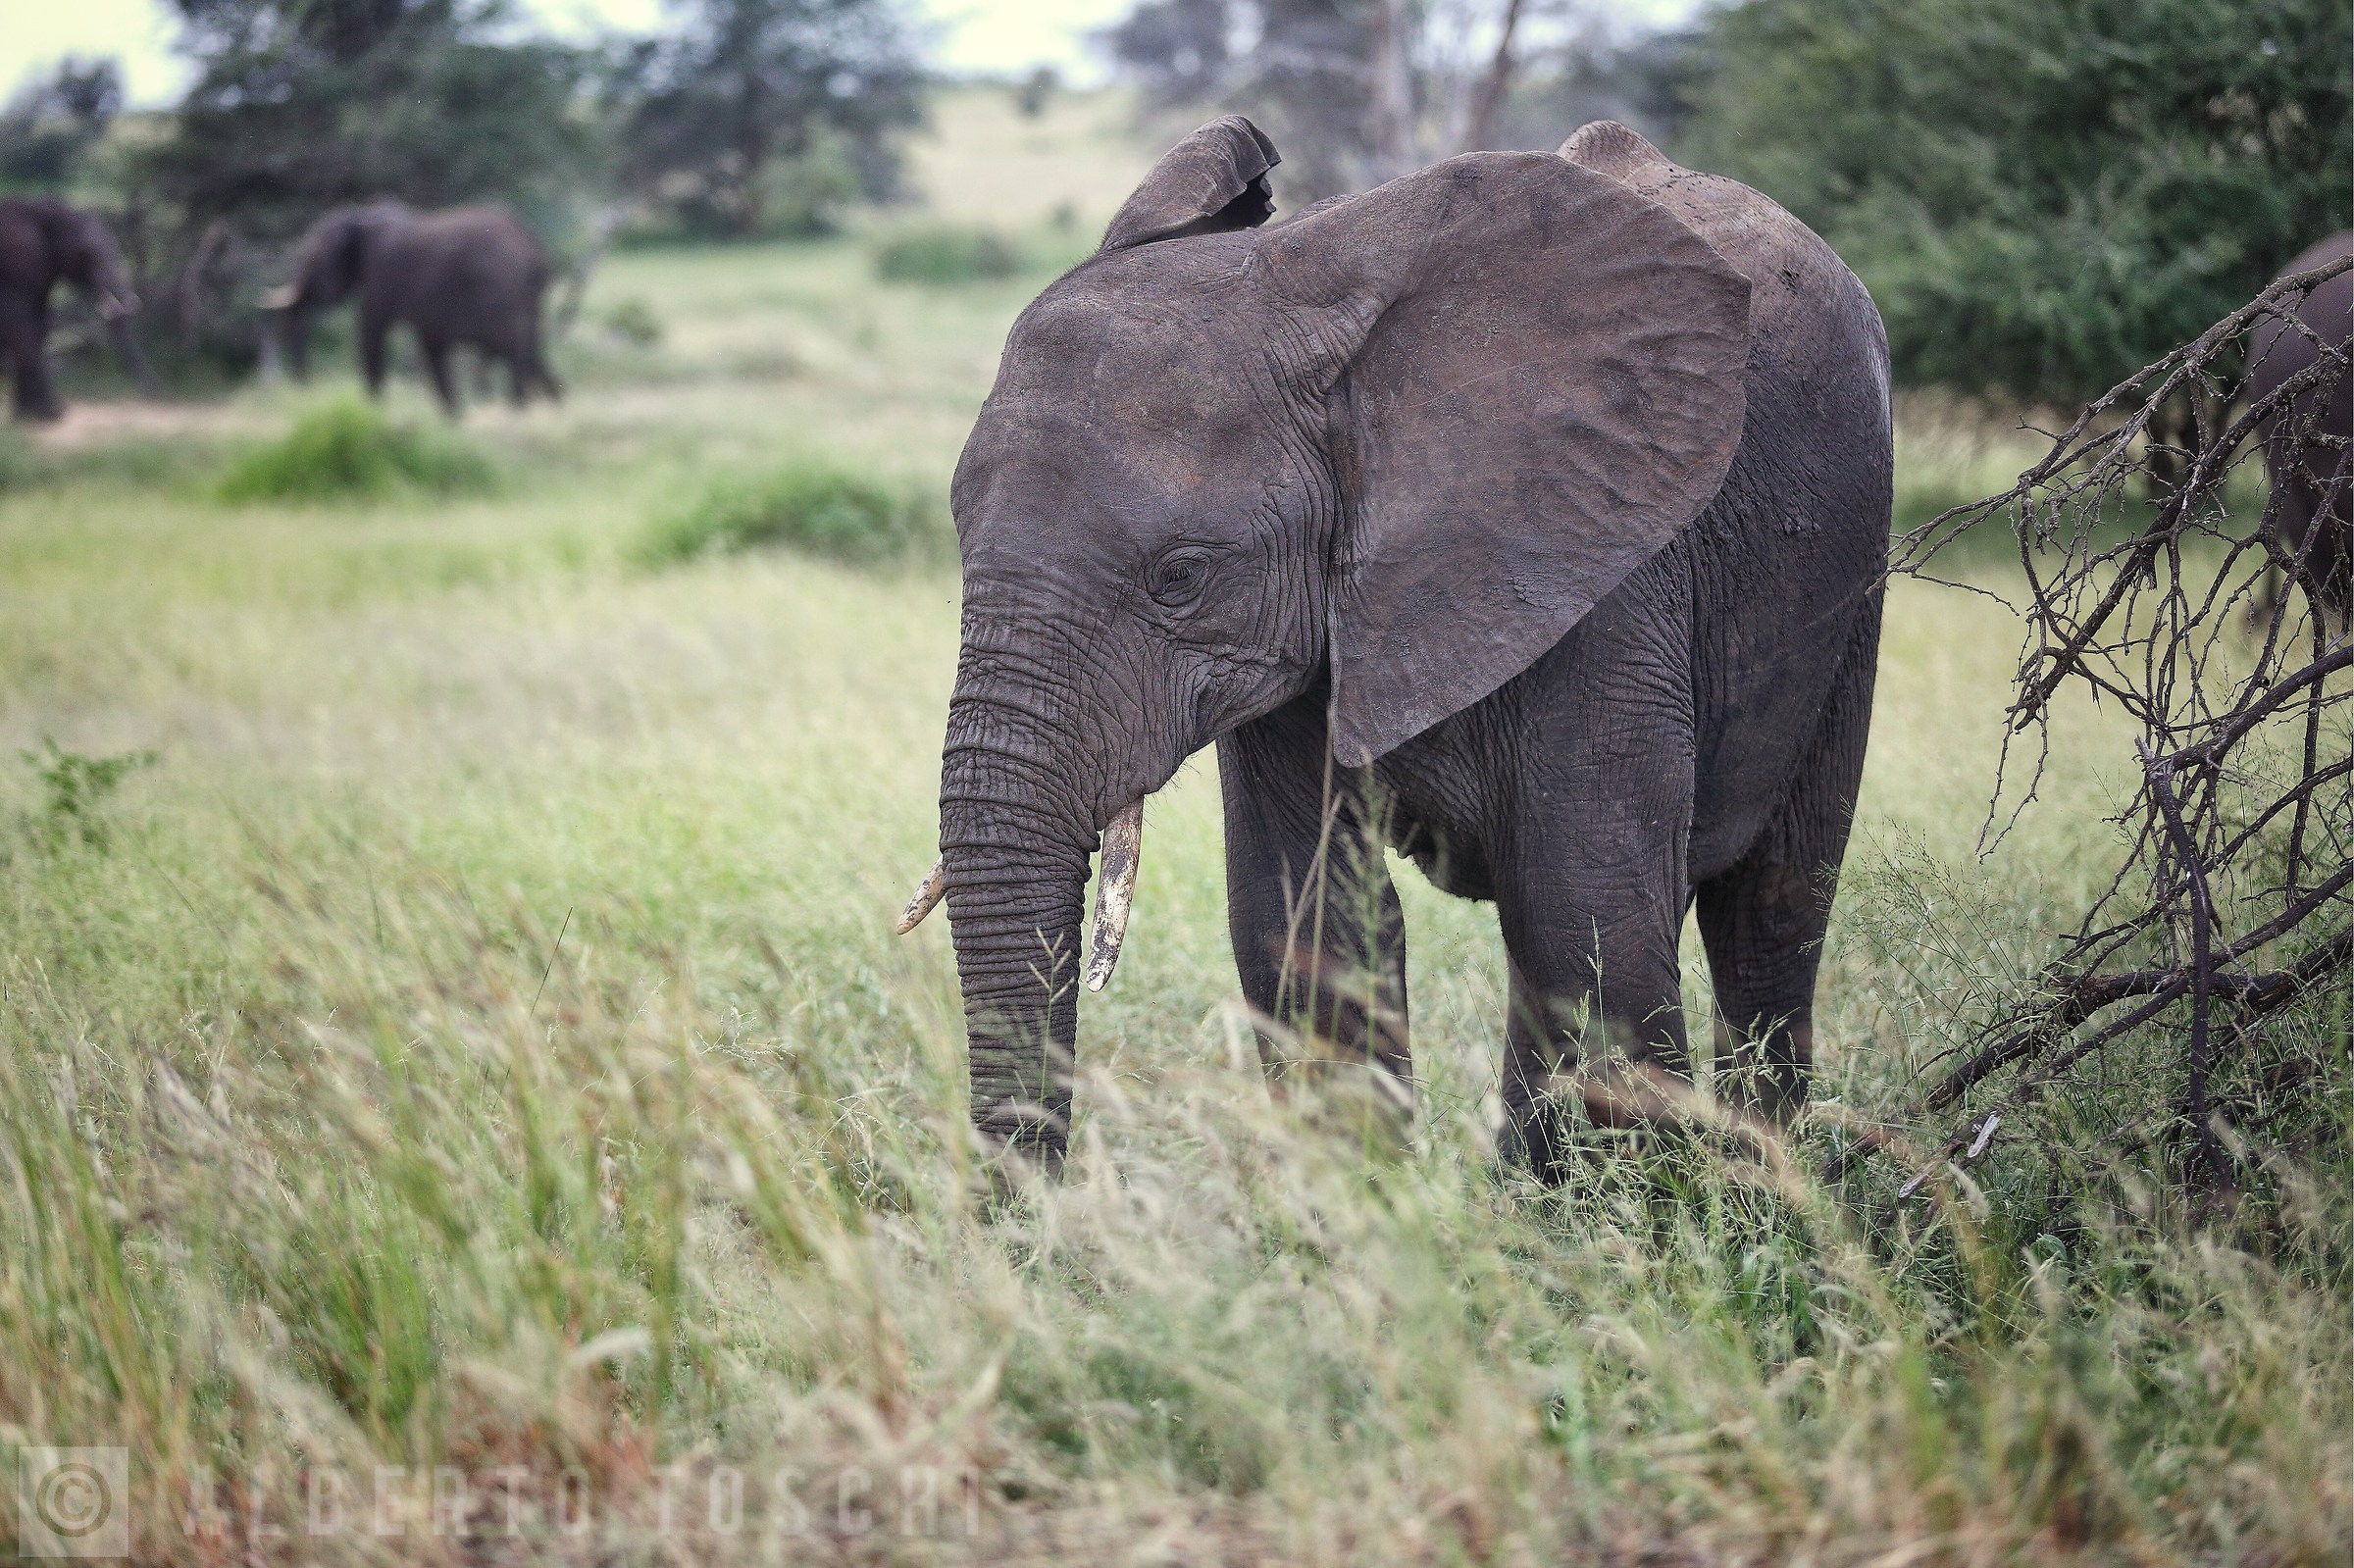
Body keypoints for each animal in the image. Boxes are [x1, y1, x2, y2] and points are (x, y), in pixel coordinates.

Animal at [0, 196, 153, 422]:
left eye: (116, 248)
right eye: (88, 254)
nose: (156, 390)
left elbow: (40, 326)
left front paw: (29, 415)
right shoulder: (14, 269)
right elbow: (21, 328)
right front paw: (53, 413)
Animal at [265, 201, 560, 418]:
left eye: (315, 258)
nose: (303, 385)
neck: (361, 216)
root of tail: (536, 251)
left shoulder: (381, 278)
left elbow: (372, 334)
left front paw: (373, 413)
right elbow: (431, 346)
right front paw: (451, 419)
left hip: (502, 295)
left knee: (516, 353)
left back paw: (520, 412)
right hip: (525, 302)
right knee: (531, 352)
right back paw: (553, 405)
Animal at [897, 117, 1892, 1173]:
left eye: (1180, 576)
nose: (1030, 1212)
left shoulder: (1601, 570)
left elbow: (1587, 921)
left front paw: (1599, 1215)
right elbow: (1306, 921)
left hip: (1849, 582)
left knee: (1773, 909)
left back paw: (1763, 1184)